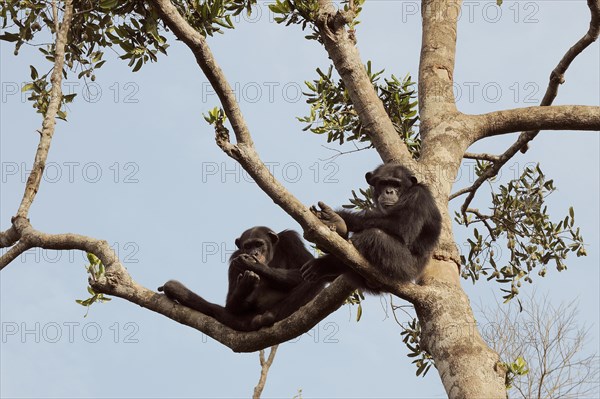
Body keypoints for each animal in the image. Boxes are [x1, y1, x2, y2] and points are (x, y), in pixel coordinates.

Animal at [158, 227, 324, 332]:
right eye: (248, 246)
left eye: (258, 244)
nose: (254, 253)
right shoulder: (233, 260)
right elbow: (231, 304)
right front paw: (244, 285)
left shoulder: (291, 240)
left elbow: (306, 269)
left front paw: (254, 265)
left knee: (316, 279)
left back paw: (269, 316)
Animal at [302, 163, 442, 294]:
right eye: (384, 183)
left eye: (396, 184)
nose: (389, 191)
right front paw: (336, 223)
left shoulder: (418, 195)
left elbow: (400, 225)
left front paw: (338, 219)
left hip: (404, 268)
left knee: (375, 236)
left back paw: (324, 264)